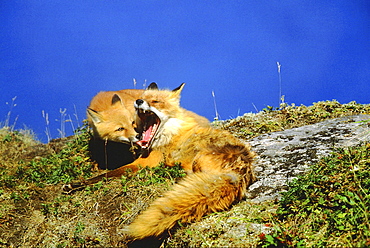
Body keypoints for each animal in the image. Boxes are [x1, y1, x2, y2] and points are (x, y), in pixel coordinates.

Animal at [64, 83, 254, 240]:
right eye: (143, 98)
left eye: (155, 101)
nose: (139, 101)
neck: (167, 135)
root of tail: (241, 172)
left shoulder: (141, 164)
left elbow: (107, 175)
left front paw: (75, 184)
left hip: (197, 161)